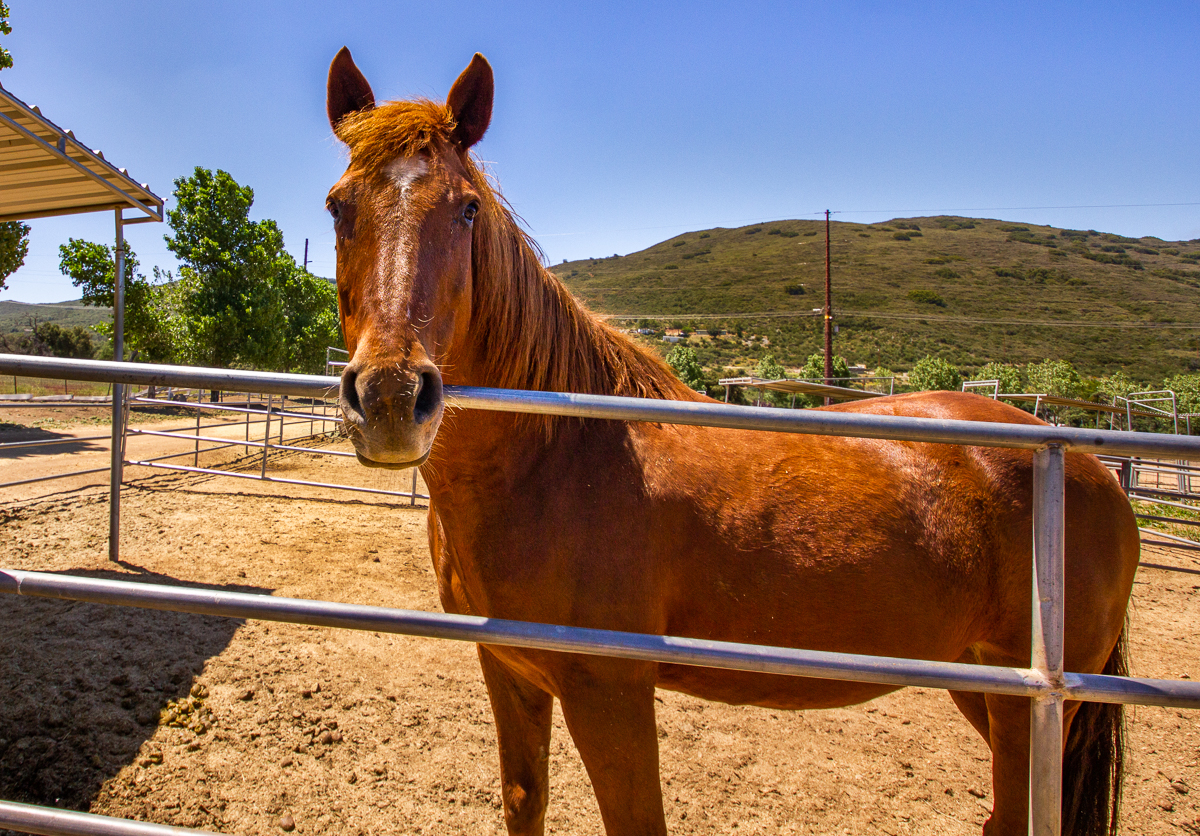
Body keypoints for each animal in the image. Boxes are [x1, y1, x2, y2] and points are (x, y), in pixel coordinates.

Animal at [323, 48, 1138, 836]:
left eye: (466, 209)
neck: (556, 459)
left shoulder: (609, 691)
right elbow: (526, 802)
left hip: (1026, 709)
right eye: (338, 205)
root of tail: (1092, 469)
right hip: (985, 688)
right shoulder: (509, 670)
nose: (391, 398)